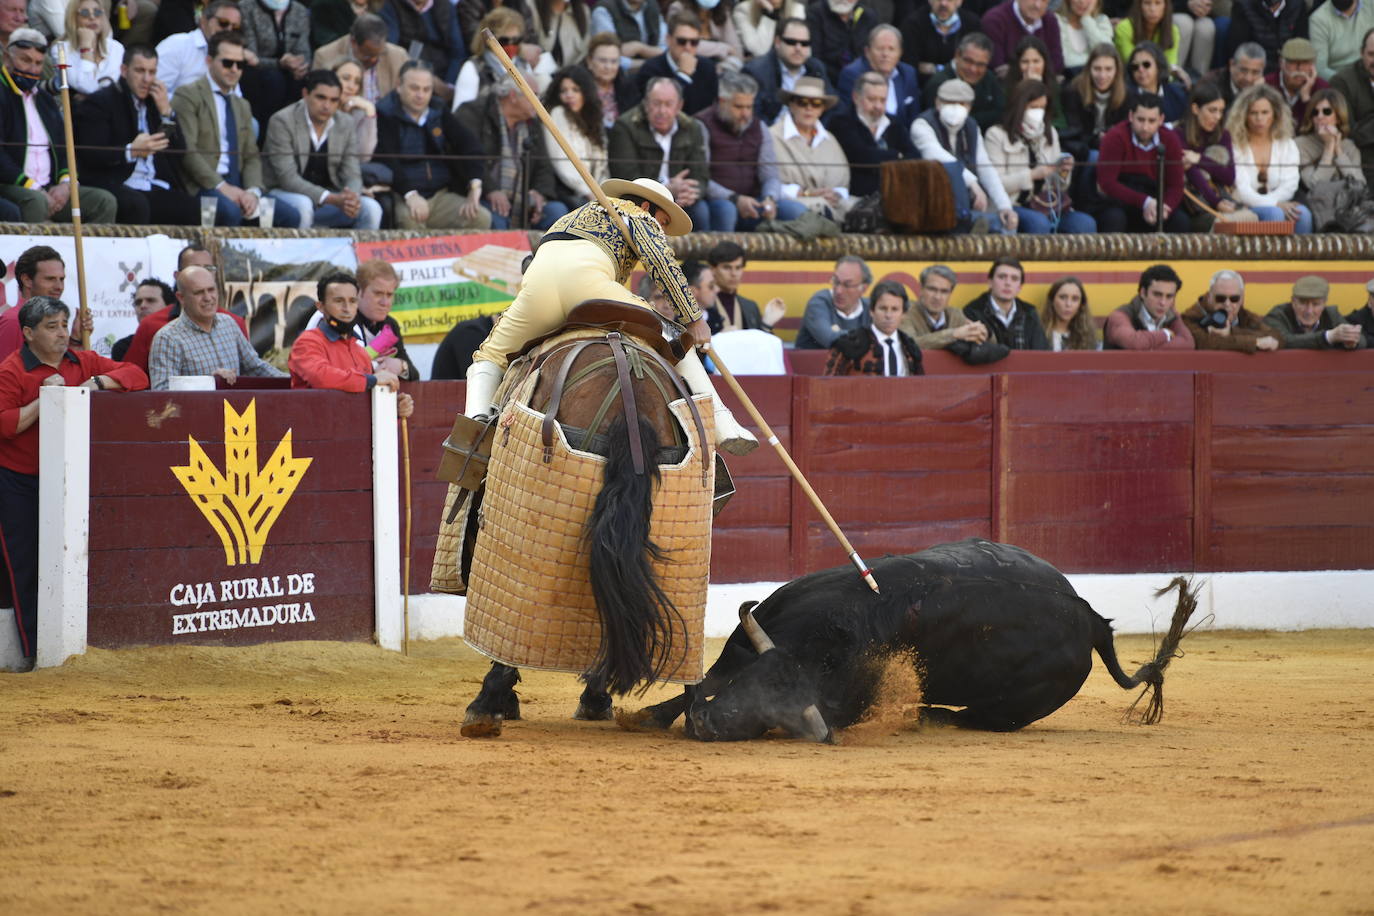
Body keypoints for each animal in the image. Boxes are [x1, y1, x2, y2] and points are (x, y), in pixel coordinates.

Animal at [629, 538, 1198, 747]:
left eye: (774, 715)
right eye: (751, 683)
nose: (708, 725)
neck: (827, 647)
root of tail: (1091, 619)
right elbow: (702, 677)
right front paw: (645, 715)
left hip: (1015, 707)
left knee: (974, 718)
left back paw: (929, 714)